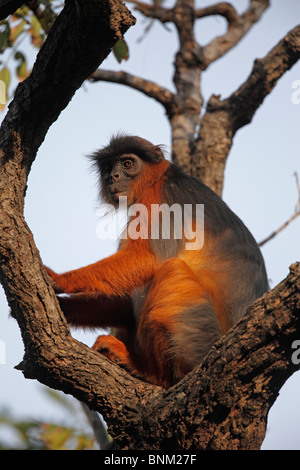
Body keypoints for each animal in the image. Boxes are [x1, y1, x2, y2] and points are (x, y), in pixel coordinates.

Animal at [45, 134, 270, 388]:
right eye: (108, 168)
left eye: (127, 164)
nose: (113, 177)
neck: (158, 179)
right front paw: (66, 308)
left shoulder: (160, 200)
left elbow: (148, 260)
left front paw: (60, 280)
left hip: (200, 345)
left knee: (171, 270)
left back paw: (151, 373)